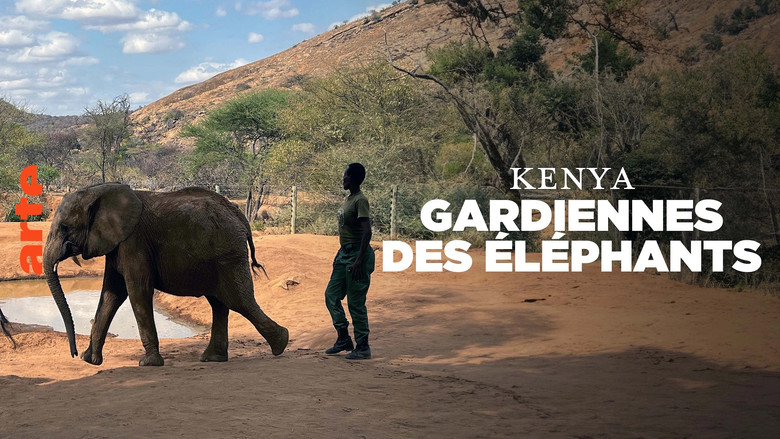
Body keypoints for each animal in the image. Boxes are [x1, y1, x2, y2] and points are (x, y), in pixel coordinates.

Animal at [43, 183, 289, 366]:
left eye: (65, 227)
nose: (73, 354)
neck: (97, 192)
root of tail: (241, 218)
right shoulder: (116, 244)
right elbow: (111, 295)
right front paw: (90, 360)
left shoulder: (134, 241)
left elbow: (137, 291)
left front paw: (149, 363)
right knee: (219, 303)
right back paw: (213, 358)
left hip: (228, 254)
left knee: (238, 300)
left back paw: (281, 344)